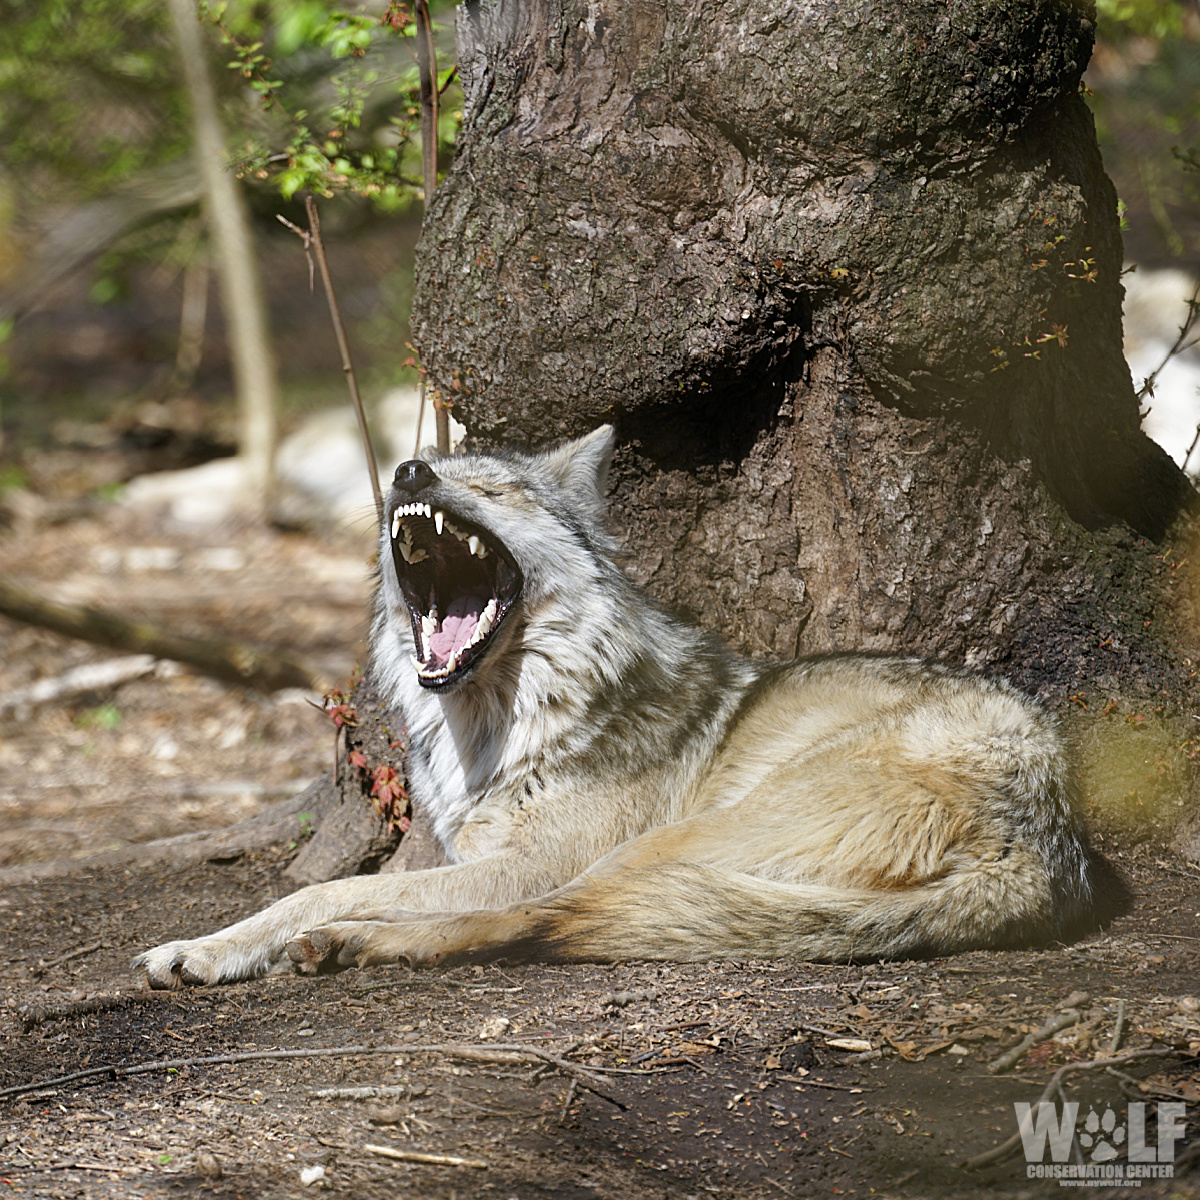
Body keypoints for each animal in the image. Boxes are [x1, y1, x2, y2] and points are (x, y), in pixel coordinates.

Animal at [136, 426, 1120, 988]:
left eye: (496, 489)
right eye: (425, 472)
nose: (408, 470)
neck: (508, 724)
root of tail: (1044, 844)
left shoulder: (524, 861)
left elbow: (326, 886)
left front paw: (216, 946)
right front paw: (210, 947)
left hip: (662, 845)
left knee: (547, 920)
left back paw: (352, 943)